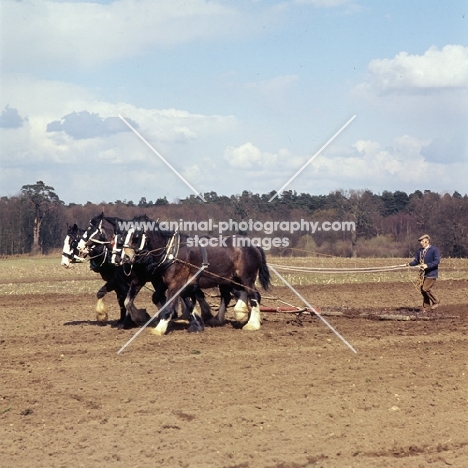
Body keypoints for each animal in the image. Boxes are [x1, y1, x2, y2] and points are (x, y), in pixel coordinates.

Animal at [80, 212, 270, 336]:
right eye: (121, 235)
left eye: (135, 236)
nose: (124, 258)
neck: (170, 252)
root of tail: (253, 244)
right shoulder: (173, 283)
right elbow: (185, 302)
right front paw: (196, 324)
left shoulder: (172, 283)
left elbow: (169, 304)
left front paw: (159, 327)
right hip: (231, 279)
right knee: (237, 295)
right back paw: (236, 315)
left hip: (246, 278)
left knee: (254, 296)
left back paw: (252, 324)